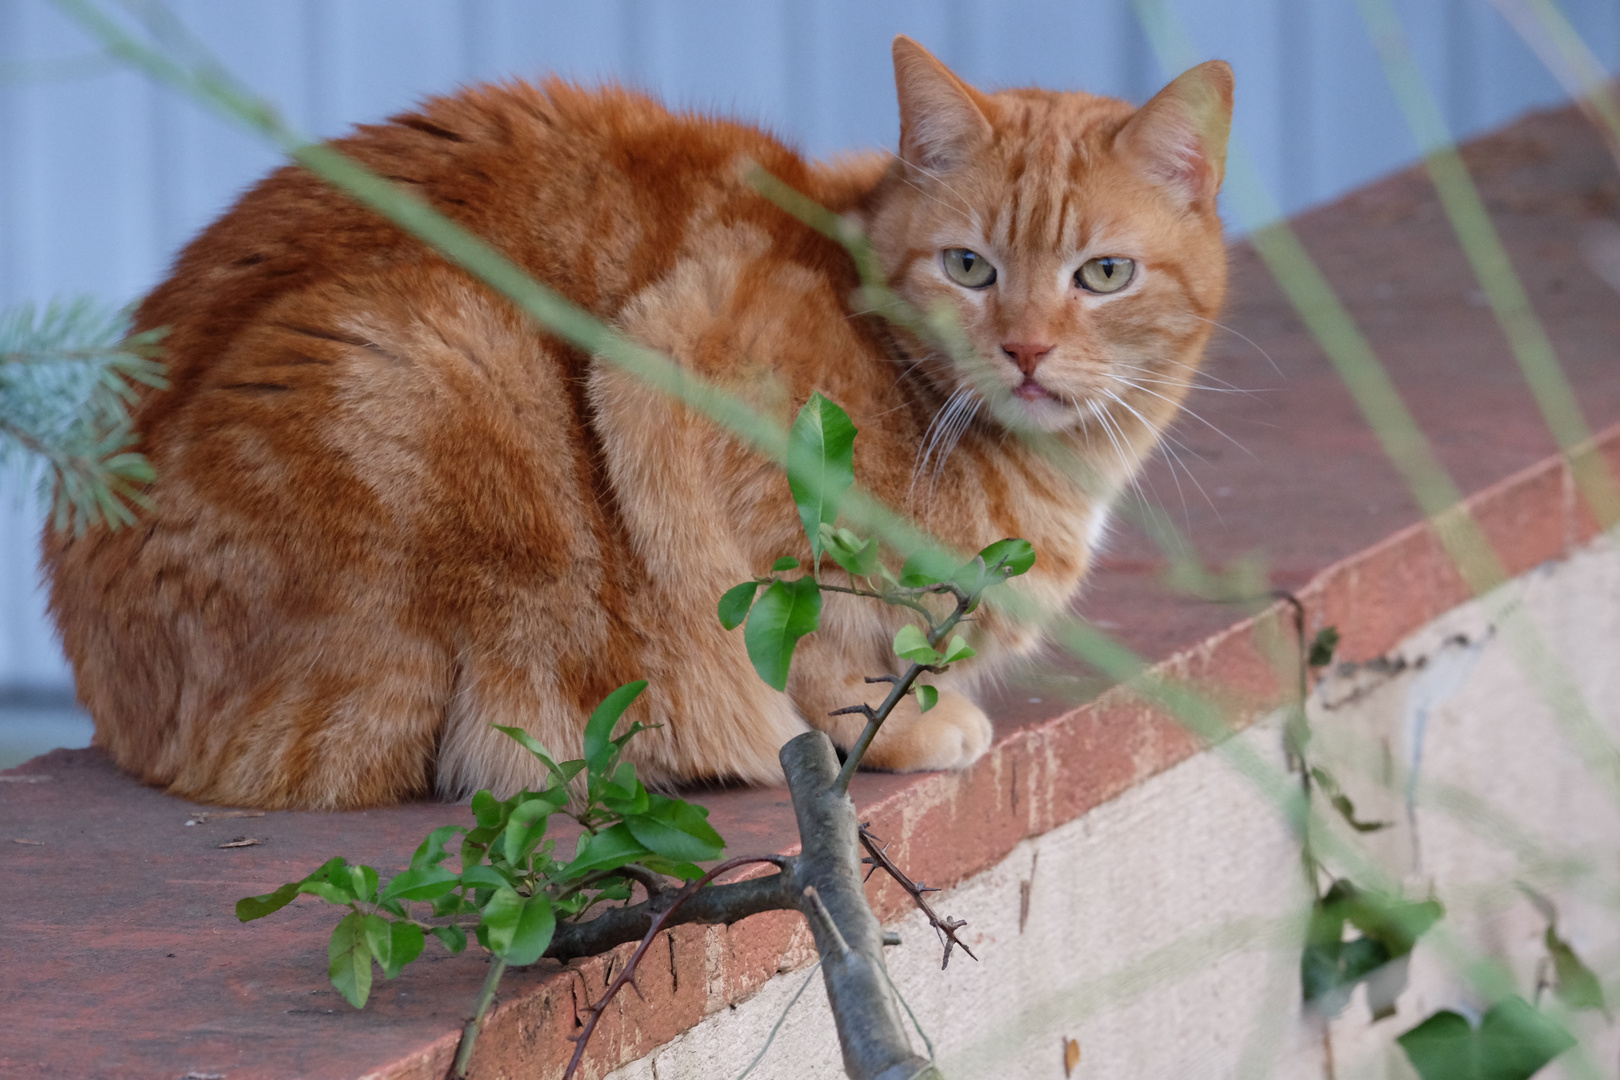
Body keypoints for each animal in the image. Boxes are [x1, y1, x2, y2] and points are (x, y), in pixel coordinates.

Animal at [44, 38, 1231, 806]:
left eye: (1104, 275)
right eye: (970, 267)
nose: (1026, 349)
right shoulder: (674, 380)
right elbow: (812, 650)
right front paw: (901, 726)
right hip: (447, 359)